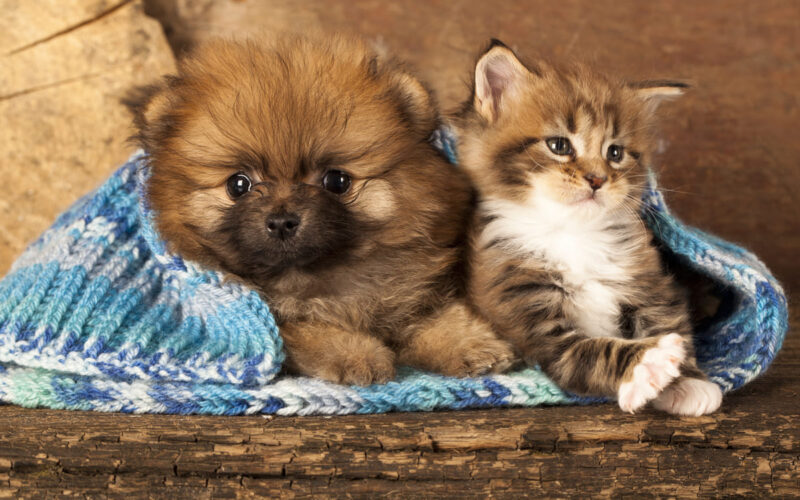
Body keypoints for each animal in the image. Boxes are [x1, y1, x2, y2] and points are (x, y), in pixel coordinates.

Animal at [125, 37, 512, 384]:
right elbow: (314, 330)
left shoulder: (415, 292)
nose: (282, 221)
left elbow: (441, 318)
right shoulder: (275, 322)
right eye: (238, 185)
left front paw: (473, 346)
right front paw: (358, 355)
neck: (318, 276)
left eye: (337, 181)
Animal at [454, 39, 720, 416]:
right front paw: (648, 363)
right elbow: (595, 351)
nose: (597, 179)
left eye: (615, 152)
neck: (571, 234)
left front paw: (689, 381)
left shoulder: (649, 282)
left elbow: (670, 321)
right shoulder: (530, 315)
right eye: (559, 145)